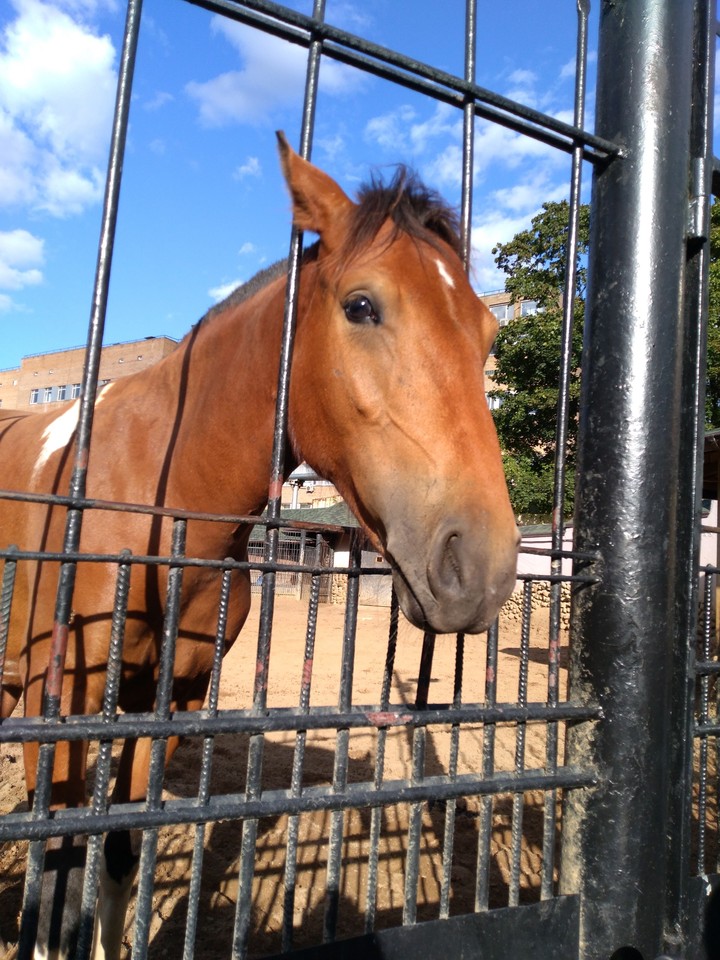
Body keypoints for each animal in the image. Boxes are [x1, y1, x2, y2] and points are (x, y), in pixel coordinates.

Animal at [0, 132, 519, 959]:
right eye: (361, 305)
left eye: (489, 332)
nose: (479, 565)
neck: (156, 500)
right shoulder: (67, 702)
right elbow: (60, 869)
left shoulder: (166, 703)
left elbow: (116, 851)